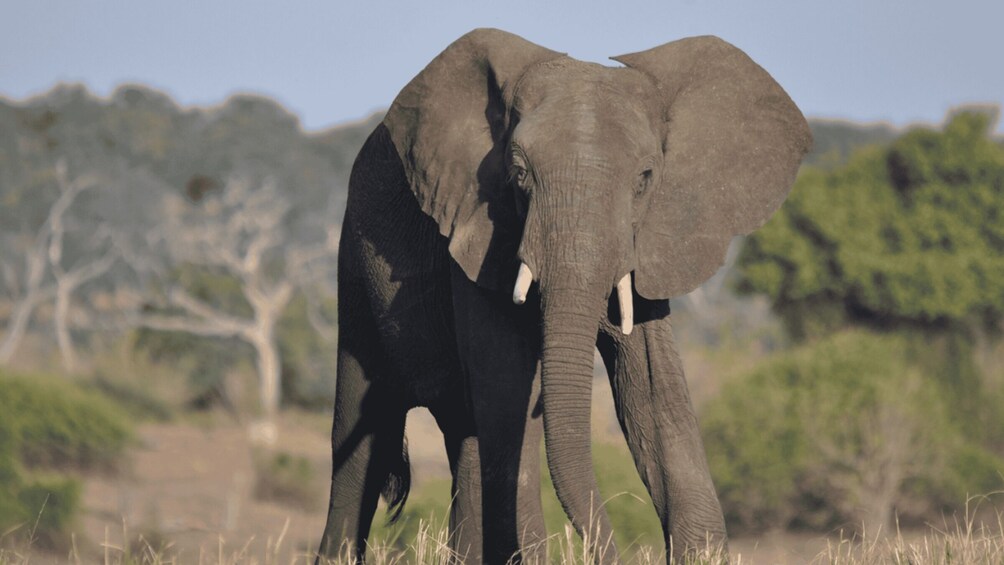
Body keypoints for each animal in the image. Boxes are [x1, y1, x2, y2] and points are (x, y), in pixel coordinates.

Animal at [318, 28, 810, 564]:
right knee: (362, 438)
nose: (609, 551)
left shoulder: (646, 243)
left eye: (645, 179)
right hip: (354, 260)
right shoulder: (479, 235)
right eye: (518, 174)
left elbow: (654, 395)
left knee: (466, 441)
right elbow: (509, 396)